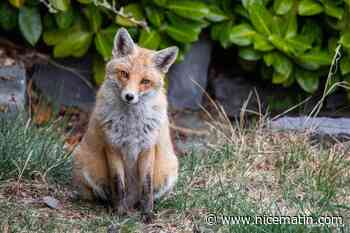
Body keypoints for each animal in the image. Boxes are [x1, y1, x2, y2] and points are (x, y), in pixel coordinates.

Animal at [72, 27, 179, 222]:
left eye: (145, 81)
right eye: (124, 74)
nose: (129, 96)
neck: (131, 125)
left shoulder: (147, 148)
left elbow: (146, 187)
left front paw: (147, 213)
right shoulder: (112, 146)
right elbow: (118, 185)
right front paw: (119, 213)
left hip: (170, 169)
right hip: (84, 163)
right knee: (98, 193)